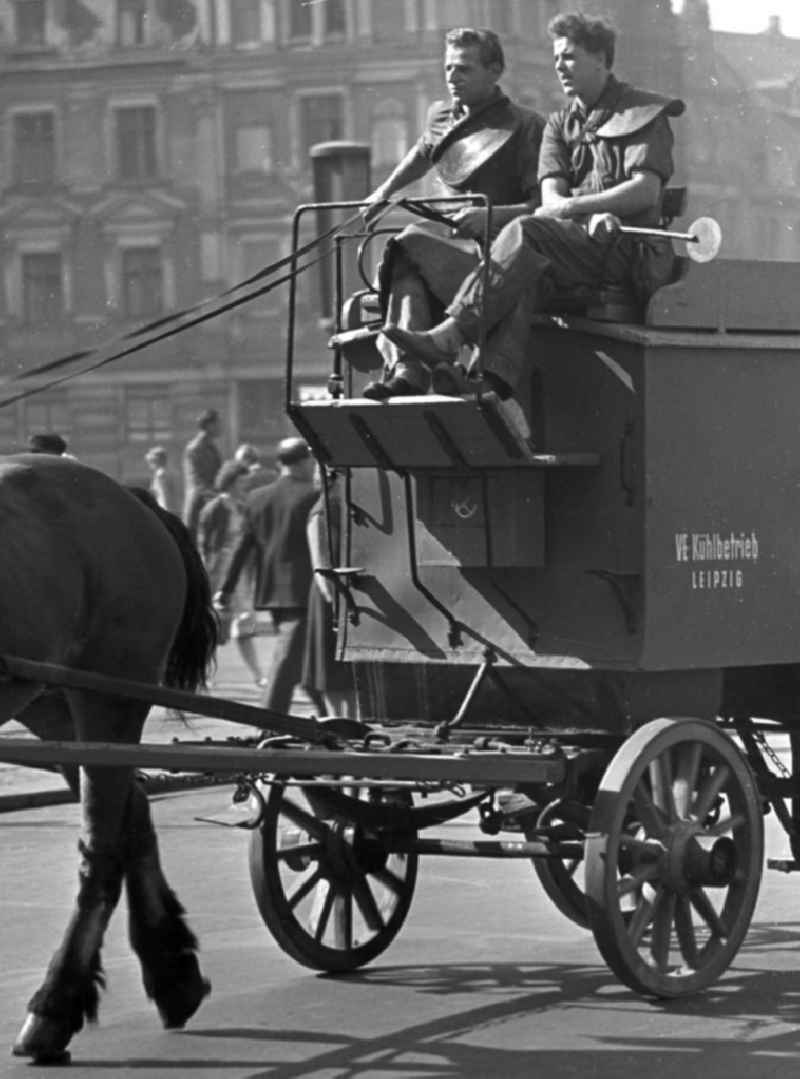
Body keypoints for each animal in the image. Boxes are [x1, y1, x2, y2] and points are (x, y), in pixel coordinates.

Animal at [0, 453, 218, 1061]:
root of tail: (126, 494)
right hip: (53, 704)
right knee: (132, 814)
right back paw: (172, 971)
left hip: (111, 691)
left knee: (101, 845)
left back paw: (55, 1005)